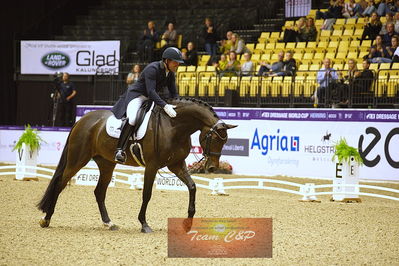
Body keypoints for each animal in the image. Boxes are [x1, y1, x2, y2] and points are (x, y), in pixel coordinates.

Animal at [37, 97, 236, 233]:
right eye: (215, 139)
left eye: (225, 142)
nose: (212, 168)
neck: (174, 126)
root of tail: (82, 120)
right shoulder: (152, 166)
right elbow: (147, 194)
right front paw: (144, 224)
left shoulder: (176, 164)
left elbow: (192, 186)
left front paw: (188, 223)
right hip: (77, 159)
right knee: (60, 184)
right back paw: (46, 219)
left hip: (107, 164)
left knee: (99, 191)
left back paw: (109, 223)